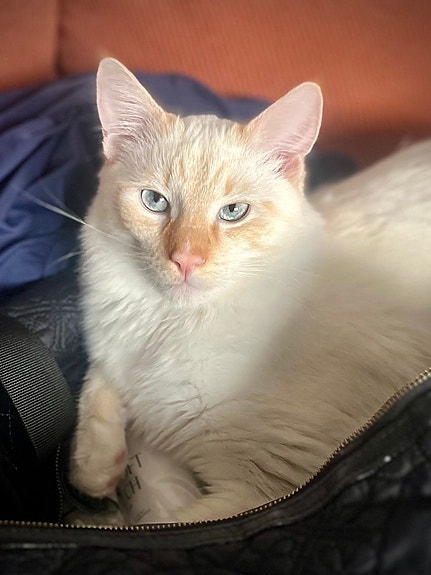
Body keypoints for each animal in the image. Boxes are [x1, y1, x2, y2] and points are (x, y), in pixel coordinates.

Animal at [69, 57, 431, 524]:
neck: (172, 325)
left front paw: (96, 513)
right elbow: (99, 383)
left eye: (234, 212)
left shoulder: (265, 492)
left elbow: (166, 527)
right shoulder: (115, 349)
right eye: (155, 202)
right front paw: (94, 469)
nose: (186, 259)